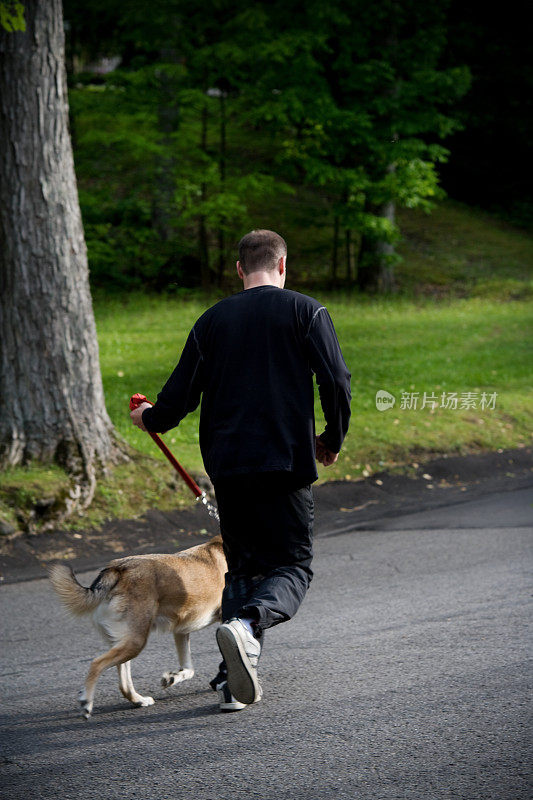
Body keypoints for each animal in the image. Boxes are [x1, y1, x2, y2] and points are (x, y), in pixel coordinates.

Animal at [47, 536, 227, 720]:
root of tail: (118, 569)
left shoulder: (181, 630)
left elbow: (188, 669)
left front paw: (173, 678)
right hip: (135, 642)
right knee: (96, 664)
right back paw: (87, 702)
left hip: (126, 642)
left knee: (124, 684)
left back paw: (139, 700)